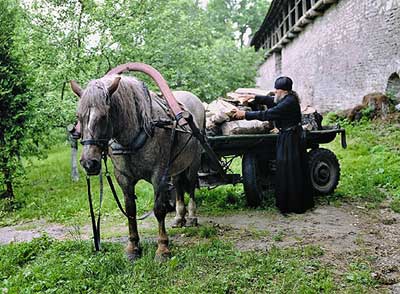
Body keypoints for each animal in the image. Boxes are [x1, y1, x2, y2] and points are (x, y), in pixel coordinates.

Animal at [70, 73, 205, 260]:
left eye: (103, 116)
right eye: (79, 117)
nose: (89, 163)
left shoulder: (159, 176)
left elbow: (159, 209)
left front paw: (162, 248)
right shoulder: (124, 178)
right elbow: (130, 210)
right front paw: (132, 247)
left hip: (194, 162)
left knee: (191, 186)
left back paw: (191, 217)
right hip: (177, 164)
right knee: (178, 184)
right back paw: (179, 218)